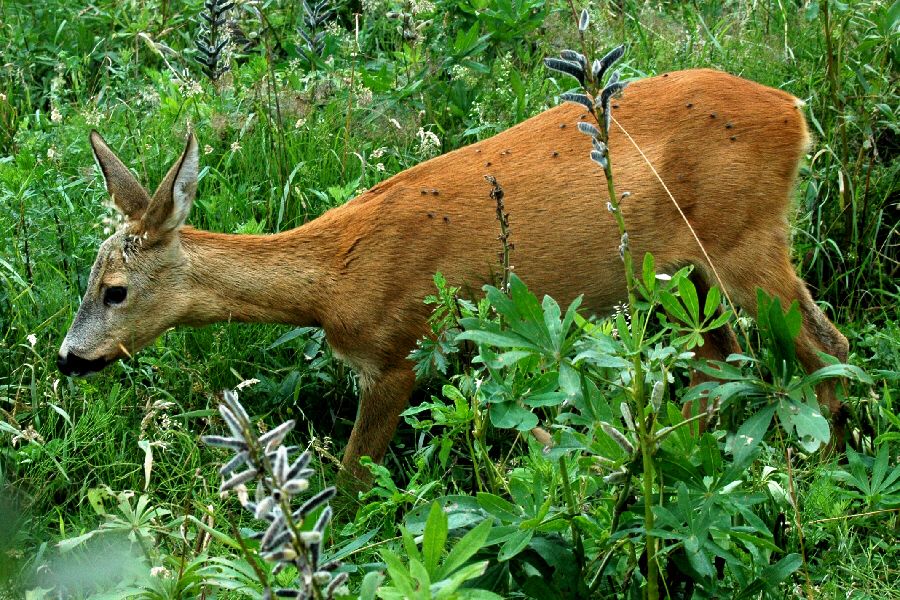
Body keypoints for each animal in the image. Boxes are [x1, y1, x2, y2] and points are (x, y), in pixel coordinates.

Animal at [59, 70, 848, 482]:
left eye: (115, 291)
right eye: (88, 281)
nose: (69, 358)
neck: (333, 279)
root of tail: (794, 110)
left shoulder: (398, 350)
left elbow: (353, 477)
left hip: (746, 238)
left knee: (825, 345)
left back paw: (830, 465)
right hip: (685, 275)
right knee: (719, 370)